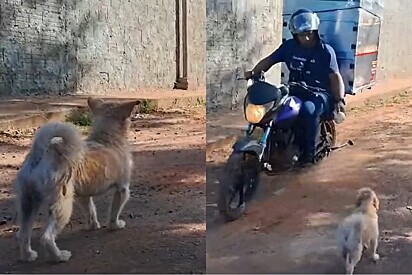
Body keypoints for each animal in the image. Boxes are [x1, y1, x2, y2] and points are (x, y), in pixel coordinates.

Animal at [12, 97, 139, 264]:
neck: (107, 139)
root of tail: (41, 153)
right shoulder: (122, 189)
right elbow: (114, 212)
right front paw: (115, 225)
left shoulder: (83, 196)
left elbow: (90, 211)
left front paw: (93, 226)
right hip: (62, 205)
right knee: (46, 238)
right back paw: (59, 256)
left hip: (28, 203)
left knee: (22, 234)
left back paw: (28, 255)